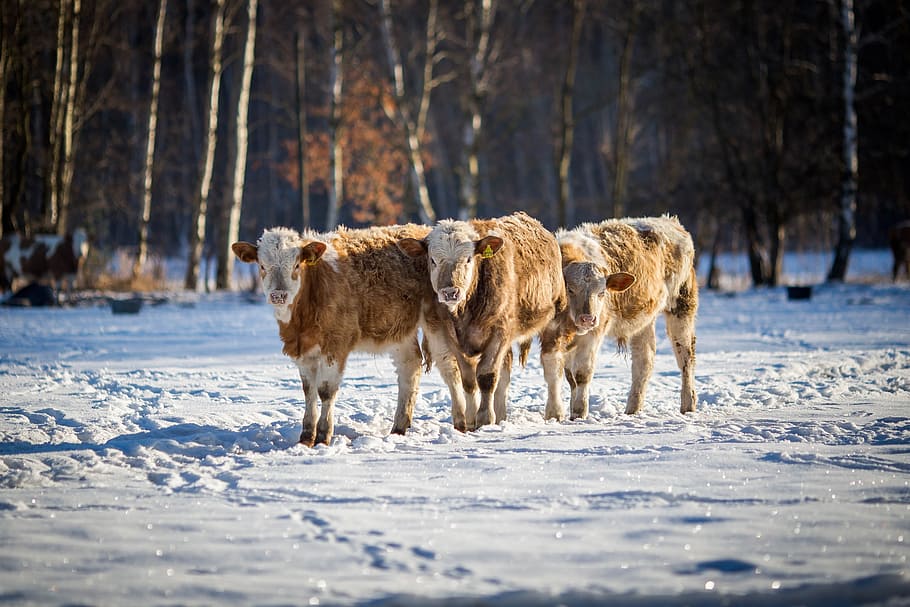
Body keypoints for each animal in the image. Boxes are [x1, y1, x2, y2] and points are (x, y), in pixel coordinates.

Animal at [231, 224, 436, 446]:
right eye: (262, 266)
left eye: (296, 265)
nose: (278, 295)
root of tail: (421, 228)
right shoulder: (303, 349)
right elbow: (308, 390)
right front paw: (306, 437)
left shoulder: (336, 345)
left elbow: (326, 391)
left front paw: (323, 436)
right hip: (400, 331)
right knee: (410, 366)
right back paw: (399, 428)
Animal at [397, 211, 568, 431]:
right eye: (433, 260)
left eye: (469, 259)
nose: (450, 292)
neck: (465, 311)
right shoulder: (450, 336)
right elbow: (469, 380)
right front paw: (471, 419)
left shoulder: (500, 331)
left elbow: (486, 377)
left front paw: (485, 418)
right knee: (505, 370)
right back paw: (502, 415)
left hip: (554, 317)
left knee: (552, 363)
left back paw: (555, 412)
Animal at [553, 215, 698, 419]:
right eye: (570, 289)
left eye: (602, 293)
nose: (588, 319)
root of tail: (671, 222)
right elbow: (570, 377)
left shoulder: (594, 333)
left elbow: (582, 374)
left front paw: (580, 414)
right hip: (644, 321)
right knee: (644, 361)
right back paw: (632, 410)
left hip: (682, 305)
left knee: (686, 356)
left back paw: (688, 405)